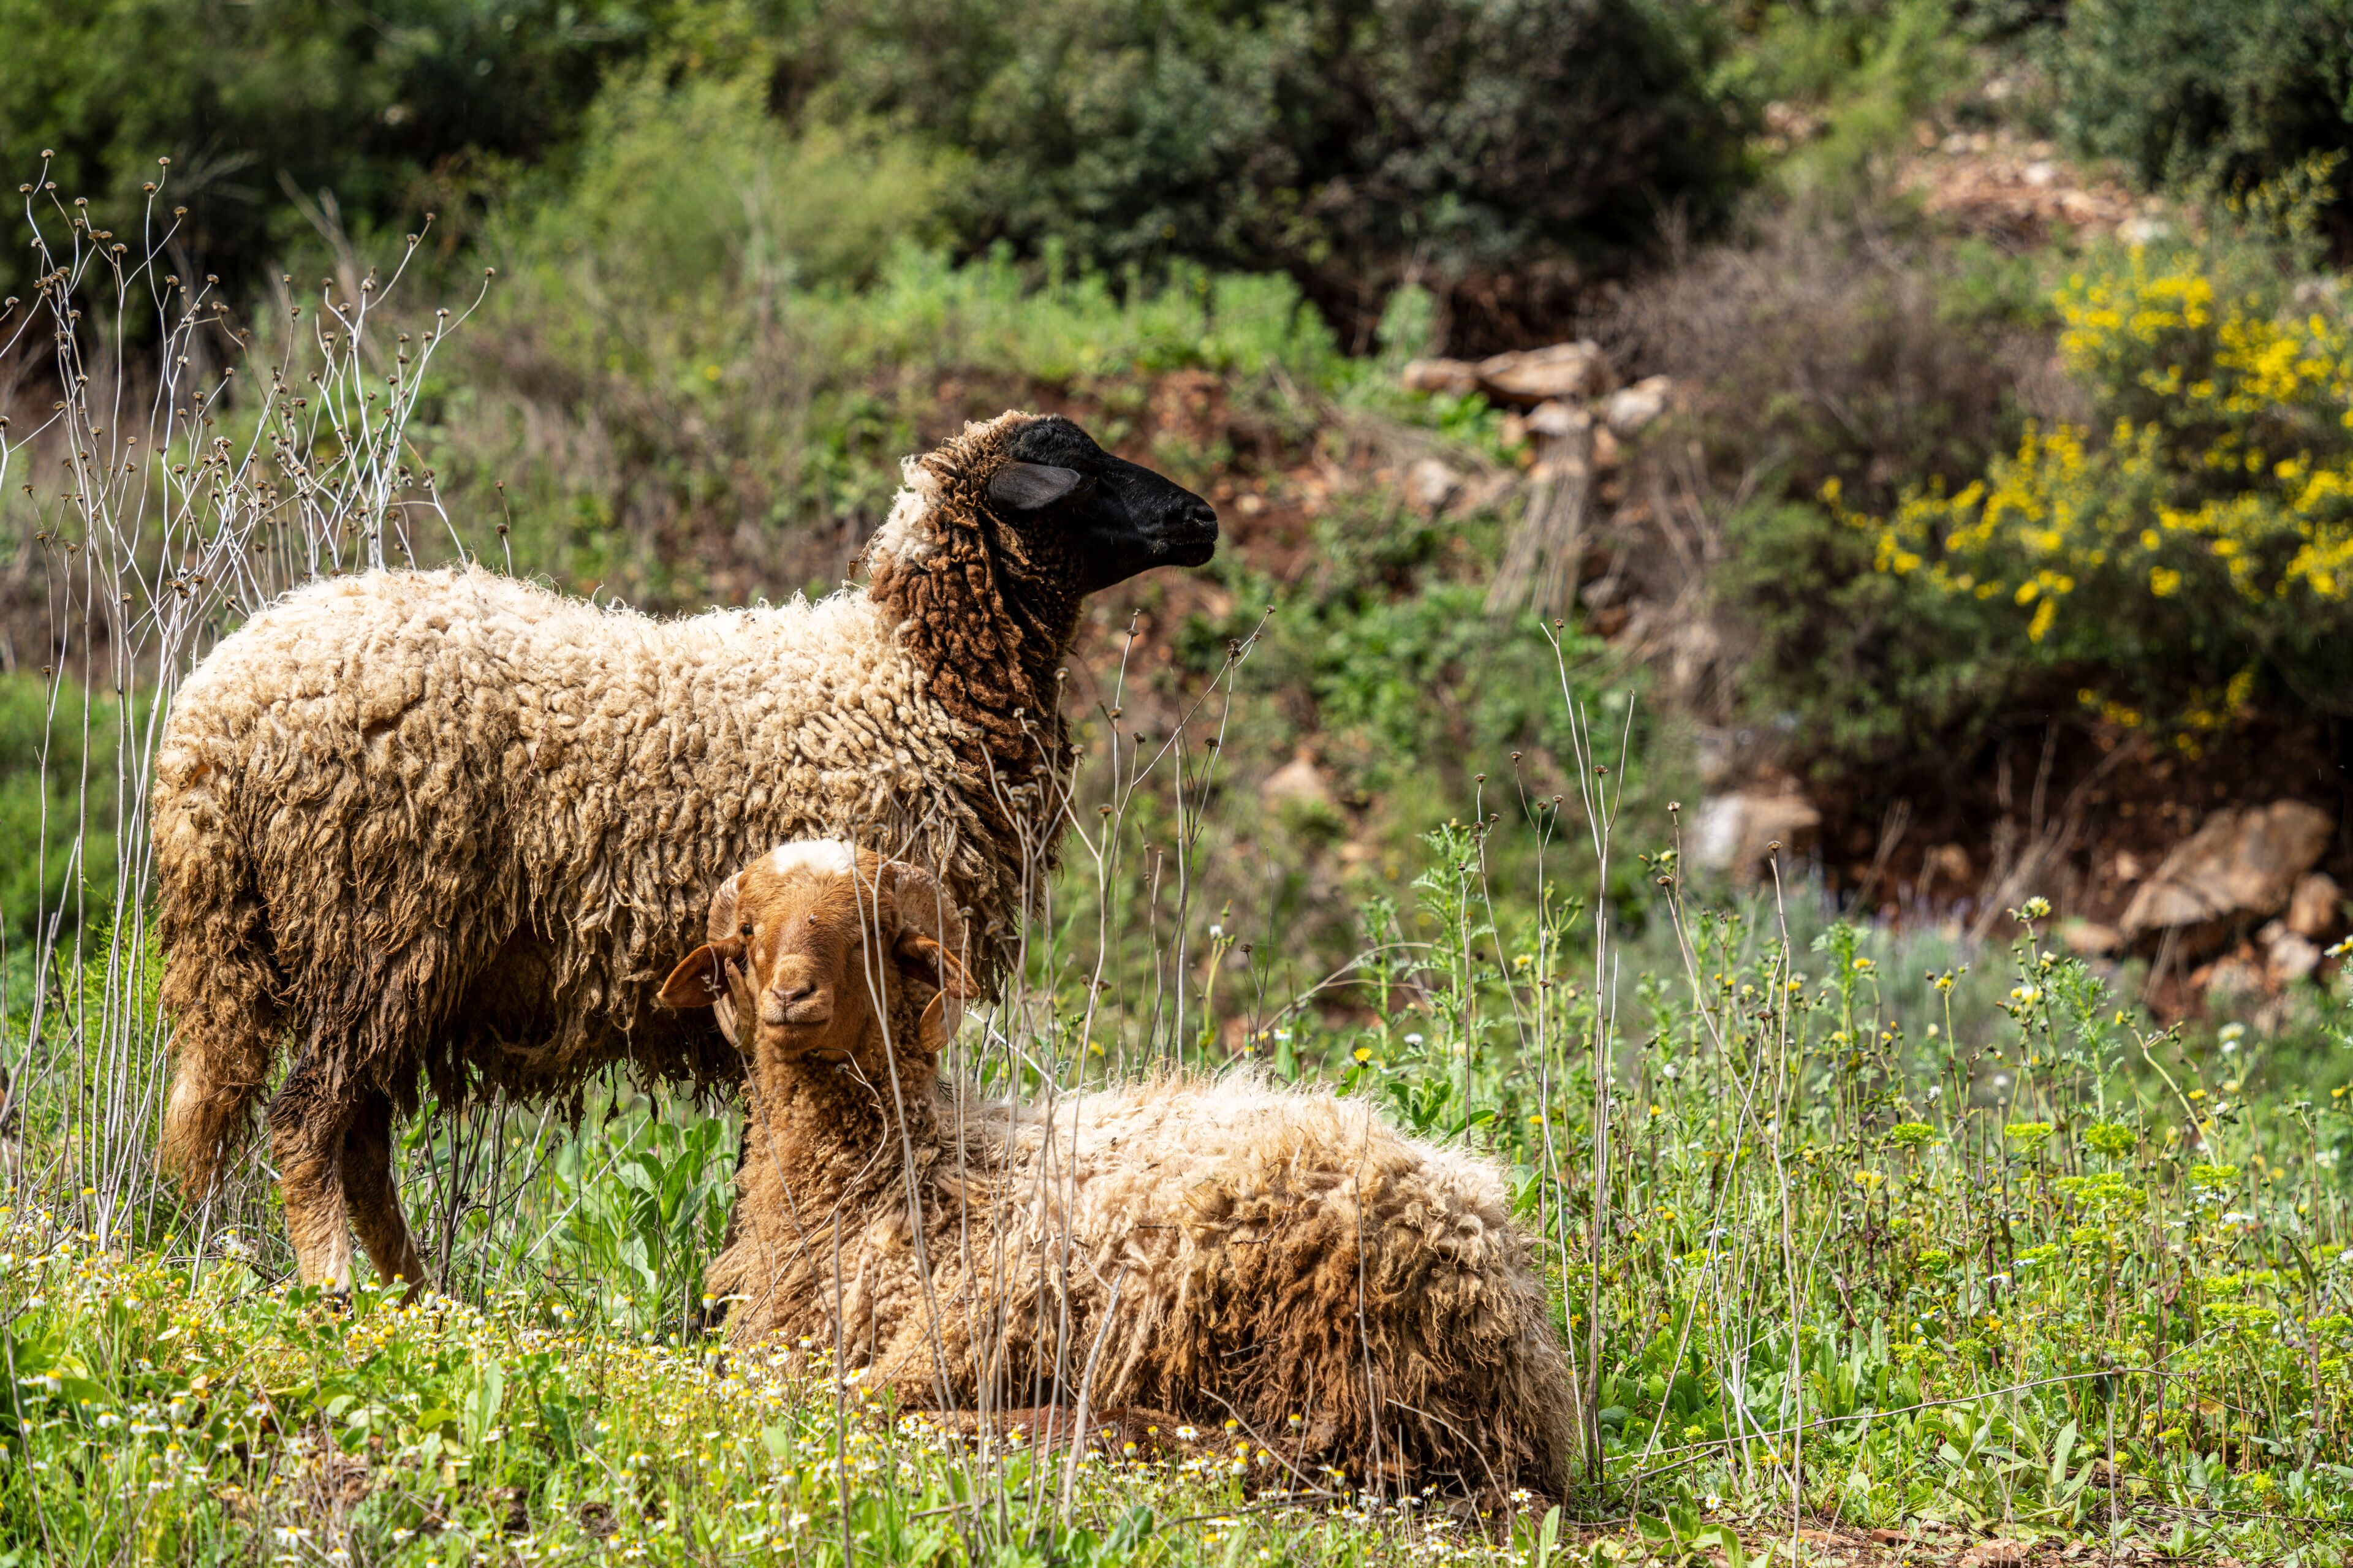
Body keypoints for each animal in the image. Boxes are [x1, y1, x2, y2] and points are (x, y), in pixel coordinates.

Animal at [153, 411, 1218, 1291]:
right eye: (1081, 473)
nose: (1201, 517)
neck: (910, 677)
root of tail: (210, 716)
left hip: (382, 960)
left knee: (359, 1139)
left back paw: (419, 1296)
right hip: (372, 922)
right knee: (308, 1121)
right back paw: (335, 1288)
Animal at [663, 841, 1580, 1499]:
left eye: (864, 934)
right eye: (747, 933)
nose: (791, 997)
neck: (904, 1168)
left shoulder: (971, 1319)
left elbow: (858, 1399)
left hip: (1327, 1329)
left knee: (1305, 1449)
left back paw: (1069, 1428)